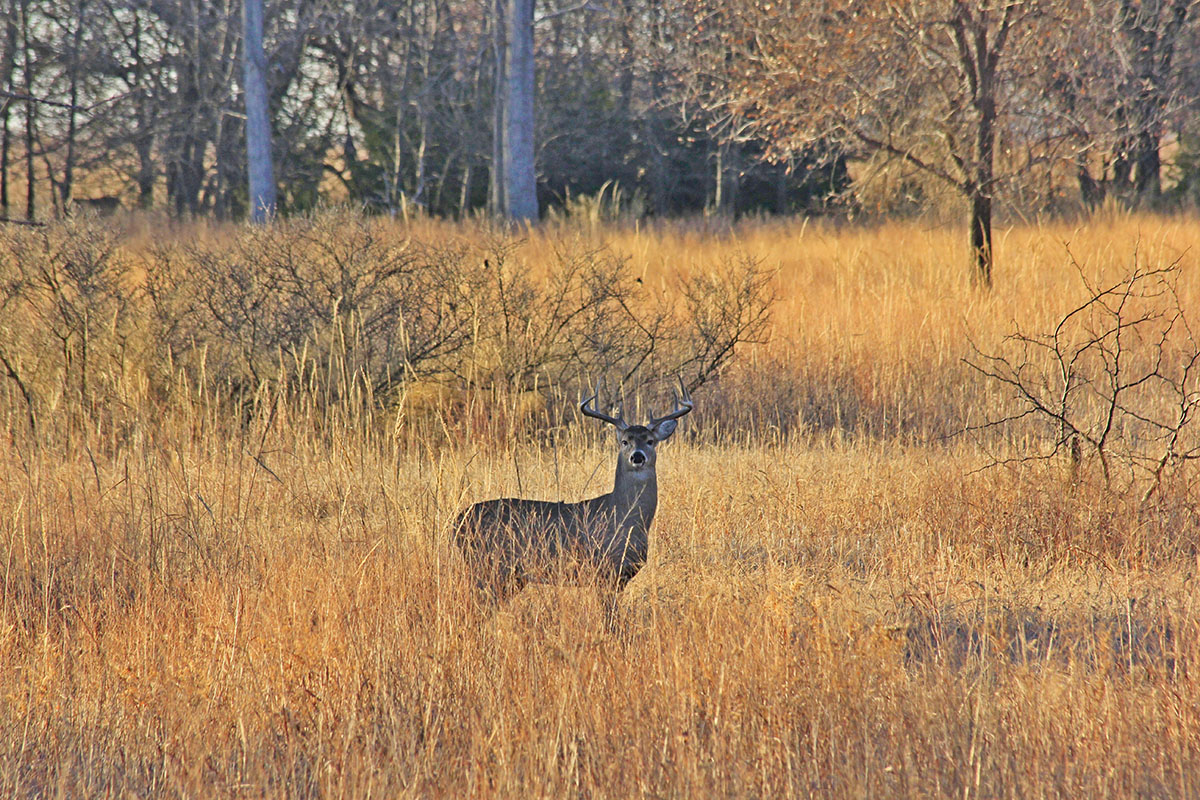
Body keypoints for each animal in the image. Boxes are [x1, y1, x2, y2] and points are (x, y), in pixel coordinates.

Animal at [451, 381, 696, 618]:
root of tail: (456, 524)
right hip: (490, 566)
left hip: (509, 576)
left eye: (651, 441)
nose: (637, 456)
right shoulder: (603, 571)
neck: (625, 518)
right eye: (625, 441)